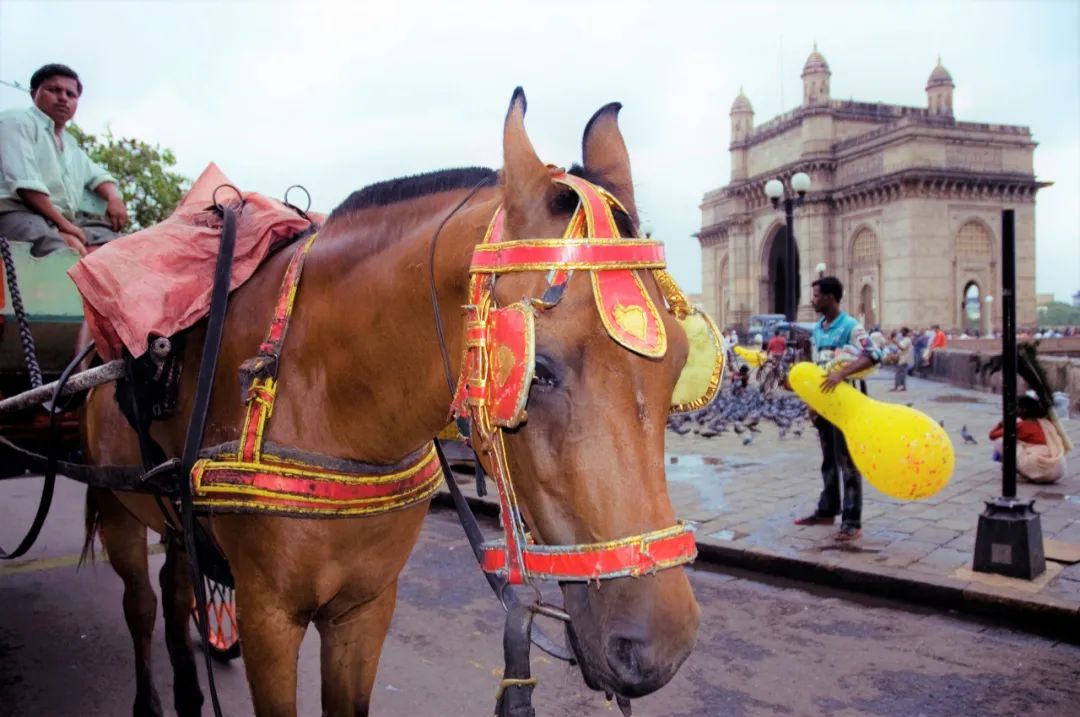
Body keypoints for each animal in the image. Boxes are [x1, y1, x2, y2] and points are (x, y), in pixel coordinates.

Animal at [79, 92, 695, 712]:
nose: (660, 652)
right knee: (141, 603)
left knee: (176, 584)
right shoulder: (266, 616)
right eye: (537, 370)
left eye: (683, 360)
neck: (331, 407)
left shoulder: (366, 607)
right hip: (116, 506)